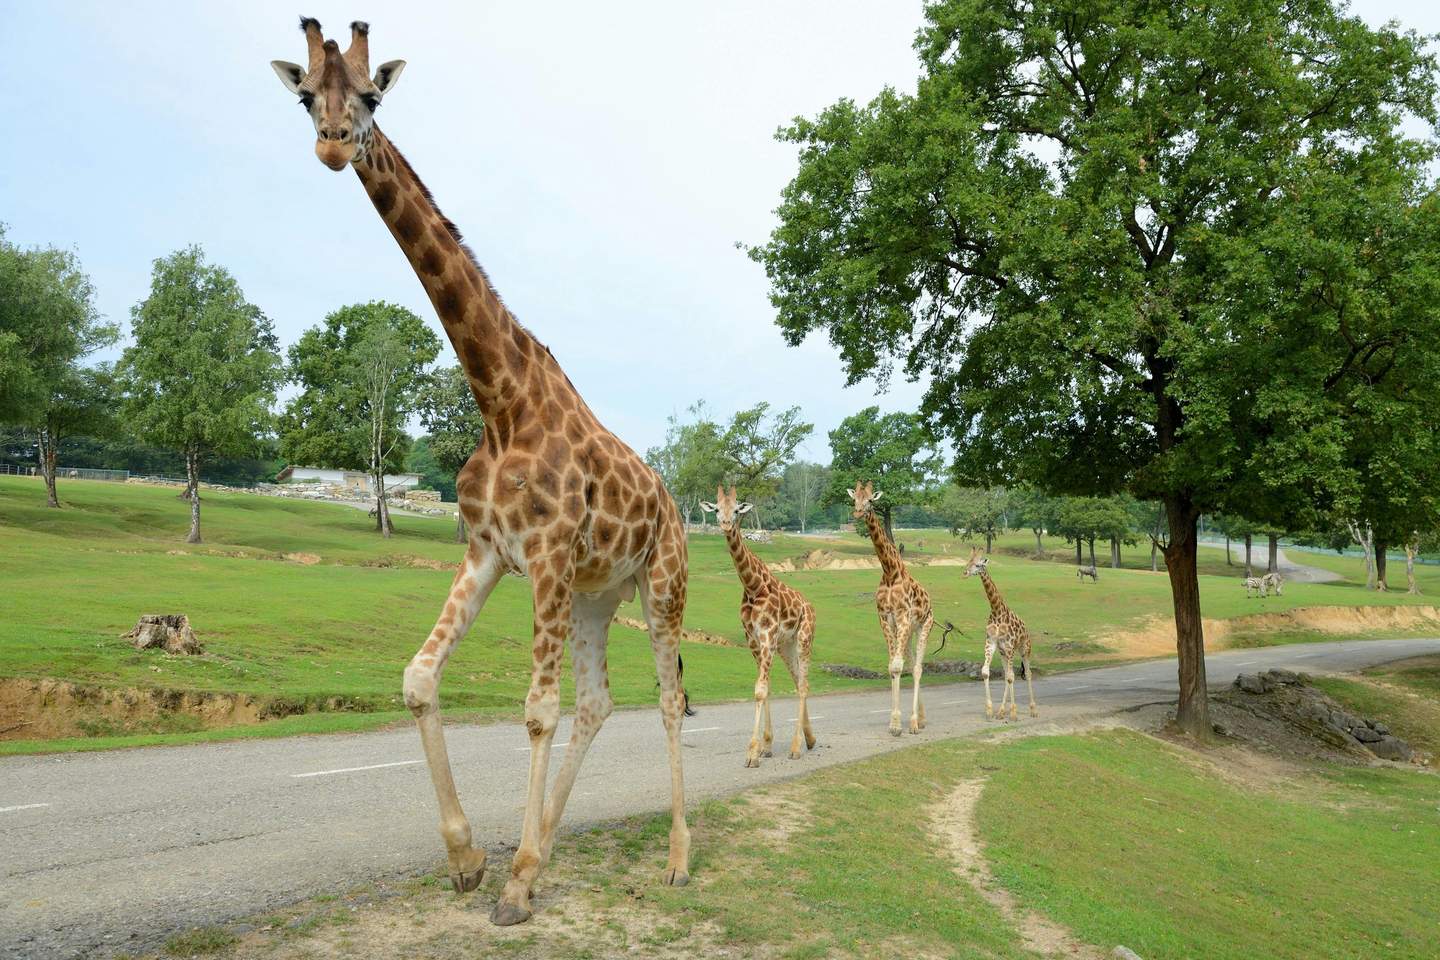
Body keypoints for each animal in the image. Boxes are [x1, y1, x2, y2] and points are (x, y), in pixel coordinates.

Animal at [270, 19, 692, 926]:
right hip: (596, 596)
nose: (333, 144)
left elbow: (534, 712)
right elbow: (419, 677)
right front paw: (474, 862)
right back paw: (547, 848)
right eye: (305, 96)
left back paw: (675, 860)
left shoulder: (544, 556)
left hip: (660, 586)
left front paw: (513, 883)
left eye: (372, 96)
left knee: (667, 701)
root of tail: (679, 507)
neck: (499, 400)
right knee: (600, 702)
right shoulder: (490, 551)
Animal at [700, 485, 817, 767]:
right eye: (716, 508)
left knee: (804, 685)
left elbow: (760, 690)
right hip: (786, 646)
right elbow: (766, 688)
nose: (725, 524)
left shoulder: (767, 635)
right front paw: (766, 746)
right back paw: (809, 738)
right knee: (799, 682)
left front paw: (752, 753)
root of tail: (811, 607)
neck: (753, 587)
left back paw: (796, 747)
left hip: (804, 639)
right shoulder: (753, 639)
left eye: (736, 509)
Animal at [847, 481, 934, 736]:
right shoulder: (885, 618)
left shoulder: (902, 617)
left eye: (870, 500)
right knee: (911, 663)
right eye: (854, 498)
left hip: (924, 625)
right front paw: (894, 723)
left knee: (918, 668)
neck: (890, 572)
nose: (858, 512)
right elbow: (892, 666)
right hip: (909, 631)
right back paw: (921, 718)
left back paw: (915, 722)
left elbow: (897, 666)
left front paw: (898, 725)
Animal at [962, 547, 1036, 721]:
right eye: (968, 561)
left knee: (1027, 674)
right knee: (1007, 675)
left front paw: (1014, 713)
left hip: (1024, 649)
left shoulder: (1010, 647)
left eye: (978, 564)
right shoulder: (991, 643)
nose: (965, 572)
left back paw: (1033, 710)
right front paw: (990, 711)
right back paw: (1002, 711)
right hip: (1003, 653)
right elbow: (986, 672)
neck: (997, 611)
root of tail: (1027, 629)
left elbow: (1012, 677)